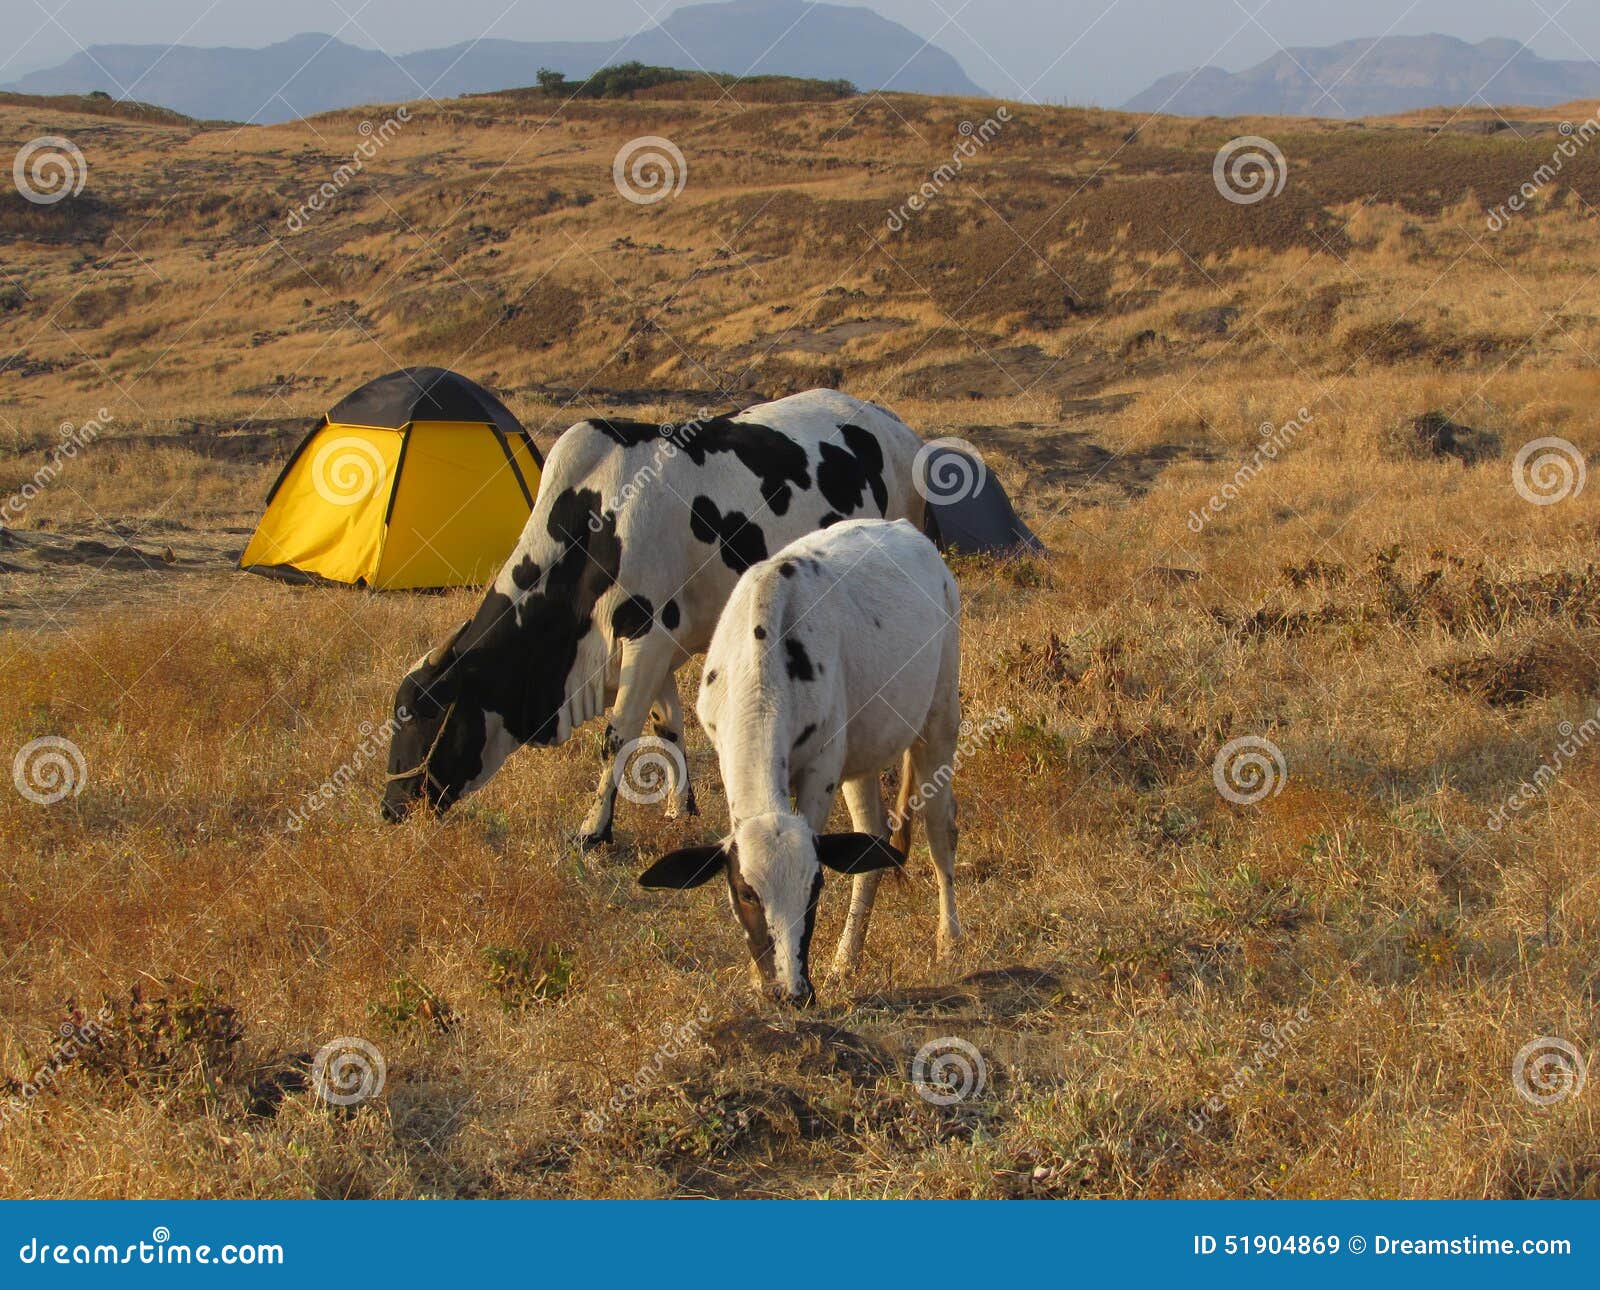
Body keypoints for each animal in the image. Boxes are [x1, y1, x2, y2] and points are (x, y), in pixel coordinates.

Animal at [384, 388, 928, 851]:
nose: (390, 808)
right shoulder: (662, 646)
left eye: (423, 718)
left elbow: (617, 738)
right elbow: (667, 727)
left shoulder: (646, 634)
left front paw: (594, 830)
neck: (597, 522)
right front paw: (677, 809)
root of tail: (895, 427)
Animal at [636, 521, 960, 1005]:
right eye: (747, 893)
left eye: (816, 886)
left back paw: (949, 941)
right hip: (862, 759)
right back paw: (846, 960)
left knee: (940, 831)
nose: (789, 992)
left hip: (940, 713)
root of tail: (906, 529)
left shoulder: (821, 770)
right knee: (874, 838)